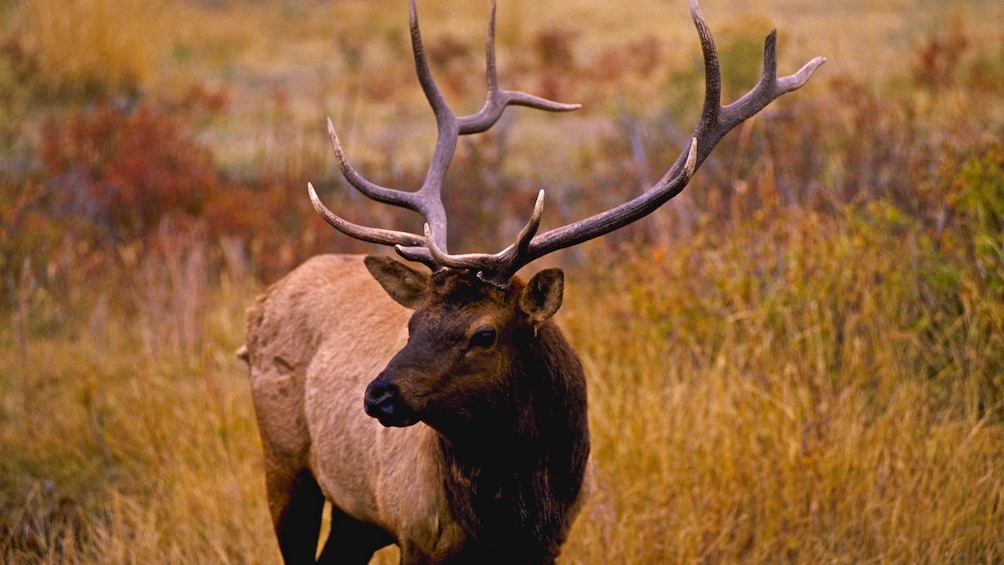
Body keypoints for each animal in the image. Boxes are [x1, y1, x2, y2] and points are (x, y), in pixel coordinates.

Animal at [240, 1, 823, 561]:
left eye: (484, 333)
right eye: (412, 323)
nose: (378, 396)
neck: (511, 517)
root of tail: (260, 304)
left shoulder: (548, 543)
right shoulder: (417, 531)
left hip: (355, 517)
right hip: (286, 463)